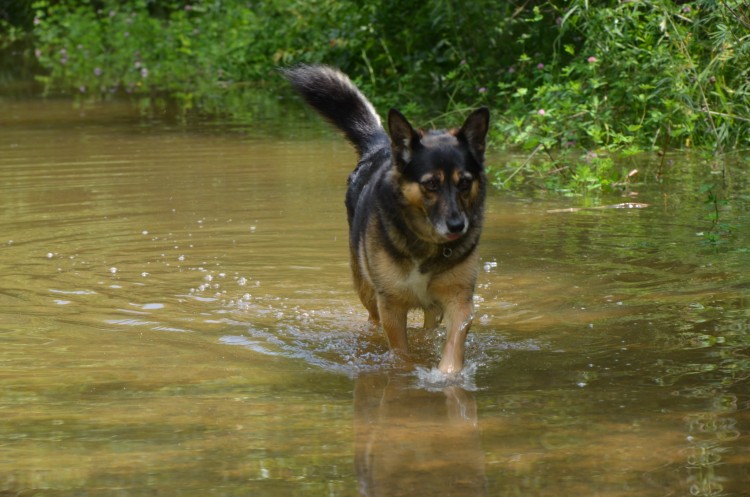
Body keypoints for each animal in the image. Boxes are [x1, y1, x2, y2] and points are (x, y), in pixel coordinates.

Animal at [284, 65, 490, 372]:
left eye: (464, 183)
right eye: (431, 184)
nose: (457, 226)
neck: (425, 246)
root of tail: (381, 146)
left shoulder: (458, 300)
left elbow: (453, 348)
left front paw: (447, 377)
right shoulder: (391, 304)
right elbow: (401, 354)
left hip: (429, 307)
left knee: (428, 327)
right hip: (366, 288)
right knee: (372, 320)